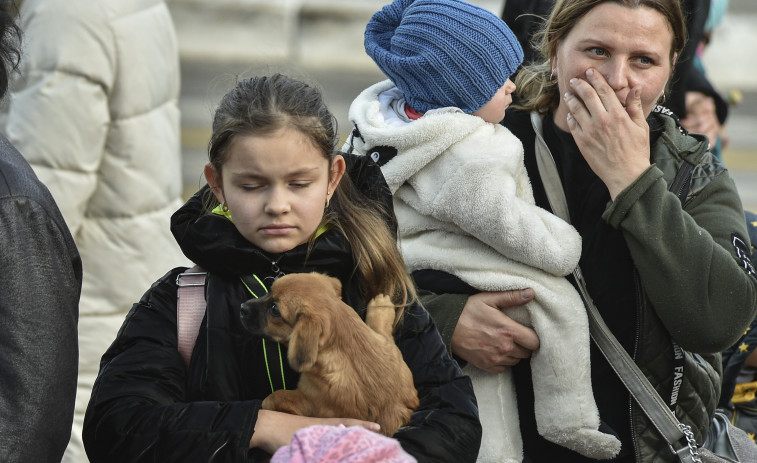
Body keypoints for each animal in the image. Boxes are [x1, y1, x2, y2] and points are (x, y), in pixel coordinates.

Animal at [239, 272, 420, 436]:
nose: (242, 308)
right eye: (269, 291)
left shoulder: (311, 401)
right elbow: (381, 330)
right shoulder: (390, 349)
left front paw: (265, 404)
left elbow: (278, 395)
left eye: (274, 309)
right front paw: (381, 306)